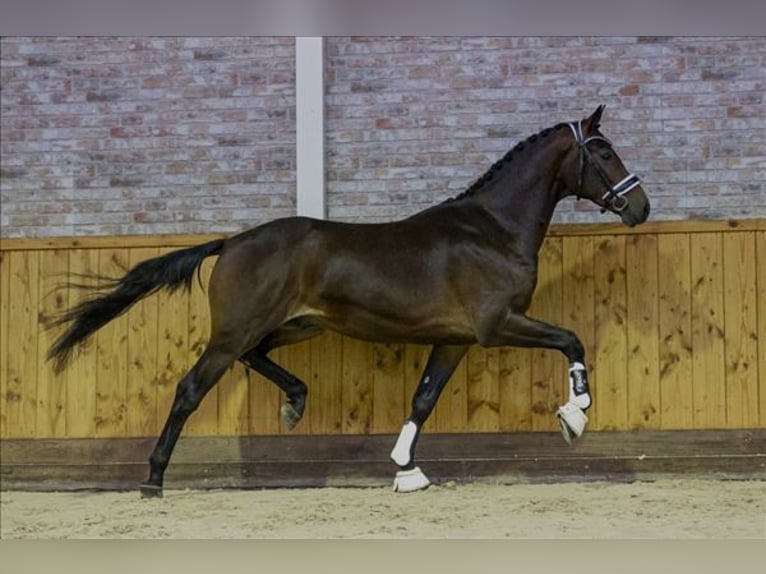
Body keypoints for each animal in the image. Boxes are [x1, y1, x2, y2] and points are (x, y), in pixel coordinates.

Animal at [48, 106, 652, 498]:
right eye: (603, 151)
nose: (640, 207)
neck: (492, 230)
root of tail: (233, 241)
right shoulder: (497, 323)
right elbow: (571, 339)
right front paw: (575, 415)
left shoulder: (454, 339)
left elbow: (423, 399)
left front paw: (407, 471)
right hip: (236, 332)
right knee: (190, 388)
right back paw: (153, 479)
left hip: (295, 325)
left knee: (256, 359)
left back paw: (294, 403)